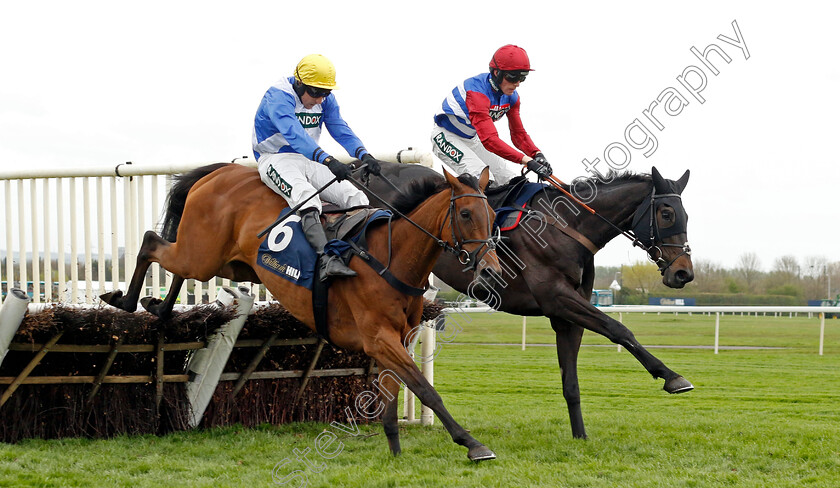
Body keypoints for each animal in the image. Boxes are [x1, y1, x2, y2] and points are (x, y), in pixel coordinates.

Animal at [101, 163, 502, 462]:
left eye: (494, 215)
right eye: (466, 213)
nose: (491, 271)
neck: (391, 257)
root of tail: (219, 172)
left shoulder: (397, 338)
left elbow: (393, 391)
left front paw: (394, 447)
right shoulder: (378, 337)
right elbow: (424, 388)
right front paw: (472, 444)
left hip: (229, 262)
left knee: (175, 263)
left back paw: (159, 307)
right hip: (202, 253)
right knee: (152, 242)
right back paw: (126, 300)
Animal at [364, 162, 692, 440]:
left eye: (686, 215)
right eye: (667, 214)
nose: (683, 272)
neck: (568, 226)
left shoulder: (566, 316)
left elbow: (571, 382)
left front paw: (580, 436)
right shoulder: (557, 298)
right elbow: (619, 329)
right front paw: (672, 377)